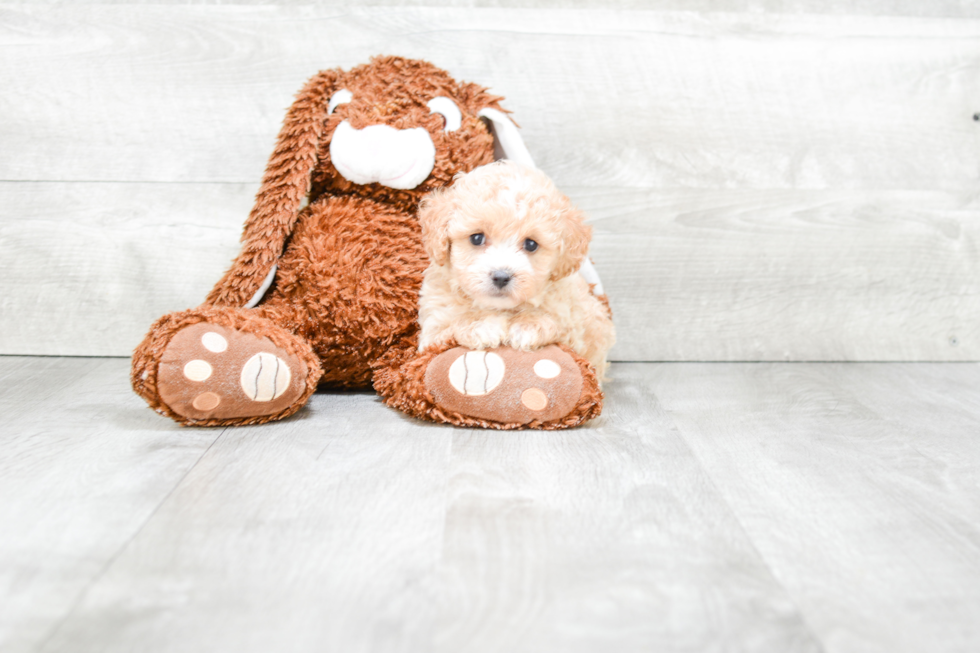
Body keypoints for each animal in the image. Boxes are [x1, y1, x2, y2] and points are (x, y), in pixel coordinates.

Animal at [418, 160, 616, 380]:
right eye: (476, 238)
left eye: (531, 244)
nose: (501, 277)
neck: (500, 308)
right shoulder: (433, 331)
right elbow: (451, 327)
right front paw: (481, 324)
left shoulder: (575, 326)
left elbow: (558, 326)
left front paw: (528, 324)